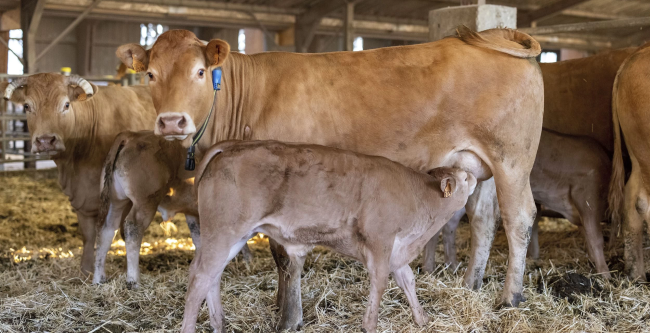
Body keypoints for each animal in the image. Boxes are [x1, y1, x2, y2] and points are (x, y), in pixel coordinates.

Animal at [0, 74, 157, 272]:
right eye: (27, 106)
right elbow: (88, 235)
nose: (45, 140)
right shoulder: (81, 196)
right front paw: (86, 269)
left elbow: (122, 231)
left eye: (66, 104)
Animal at [182, 139, 476, 332]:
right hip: (224, 232)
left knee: (211, 277)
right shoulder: (379, 241)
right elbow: (380, 282)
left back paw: (219, 325)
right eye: (464, 177)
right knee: (200, 279)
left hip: (232, 237)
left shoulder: (397, 249)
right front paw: (370, 324)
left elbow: (407, 280)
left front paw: (422, 319)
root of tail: (231, 147)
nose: (475, 176)